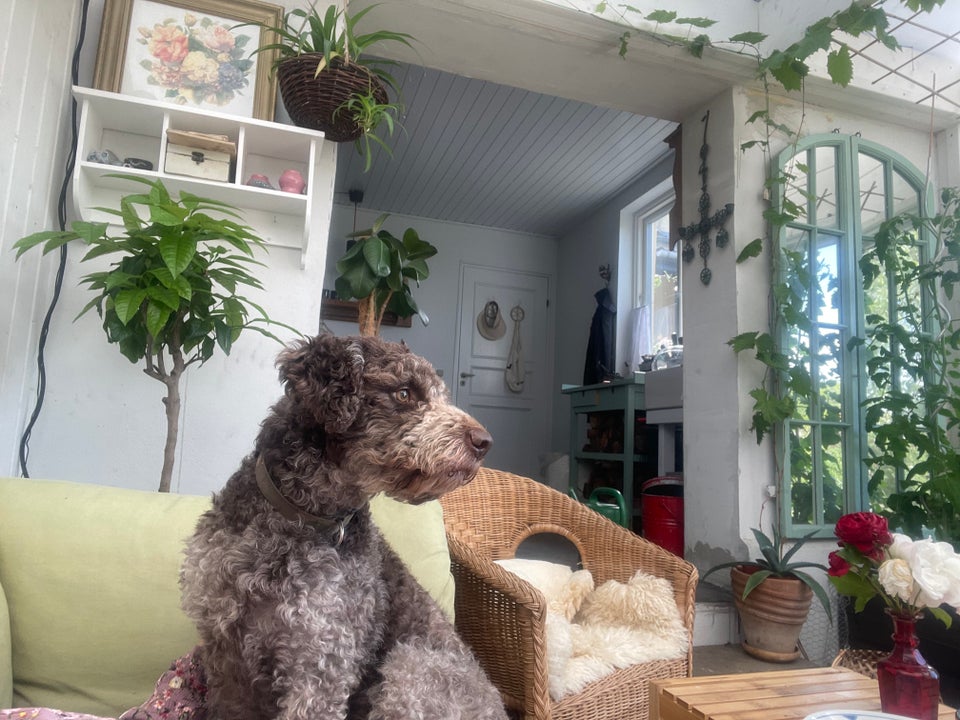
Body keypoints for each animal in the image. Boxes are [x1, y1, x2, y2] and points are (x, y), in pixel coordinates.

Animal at [182, 334, 510, 720]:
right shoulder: (225, 653)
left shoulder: (321, 664)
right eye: (404, 393)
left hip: (410, 668)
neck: (296, 522)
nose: (484, 442)